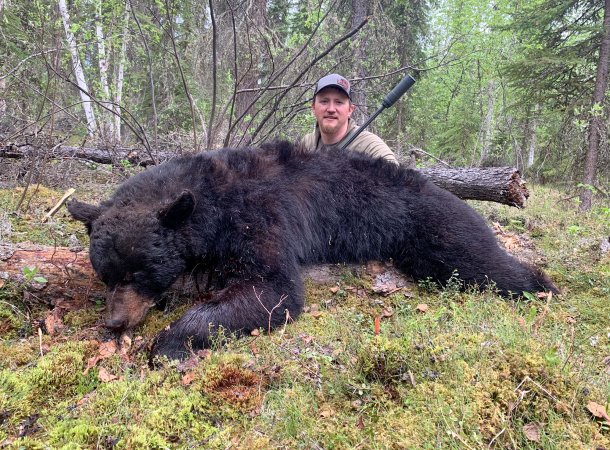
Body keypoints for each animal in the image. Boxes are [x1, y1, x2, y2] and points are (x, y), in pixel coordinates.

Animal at [67, 142, 556, 360]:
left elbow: (273, 289)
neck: (210, 199)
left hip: (436, 229)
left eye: (138, 273)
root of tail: (446, 191)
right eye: (106, 274)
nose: (114, 323)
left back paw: (542, 285)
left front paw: (167, 342)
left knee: (482, 263)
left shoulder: (259, 218)